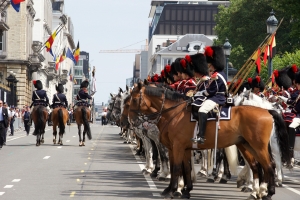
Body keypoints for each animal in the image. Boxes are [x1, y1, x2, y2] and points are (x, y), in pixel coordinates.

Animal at [129, 83, 290, 200]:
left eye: (134, 99)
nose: (132, 121)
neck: (174, 113)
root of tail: (267, 111)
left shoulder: (177, 147)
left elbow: (176, 168)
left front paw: (172, 190)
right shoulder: (182, 148)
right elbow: (185, 168)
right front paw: (185, 191)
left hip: (259, 147)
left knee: (269, 166)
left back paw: (267, 193)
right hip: (246, 145)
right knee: (257, 166)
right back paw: (257, 191)